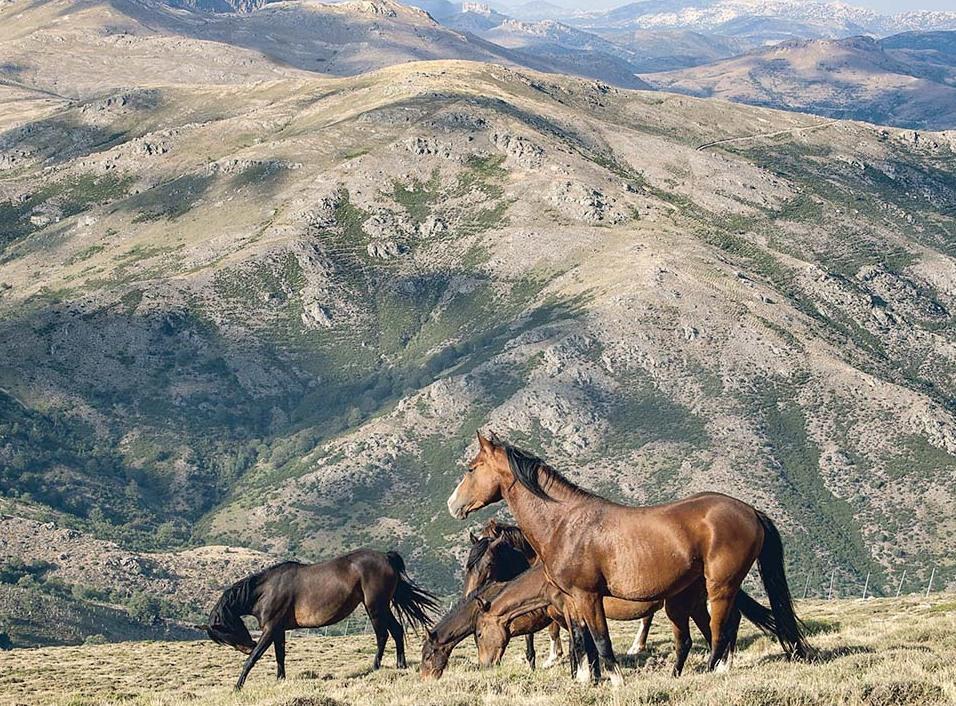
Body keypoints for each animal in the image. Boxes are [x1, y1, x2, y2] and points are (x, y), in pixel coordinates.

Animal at [204, 549, 438, 689]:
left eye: (226, 631)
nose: (247, 646)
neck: (267, 590)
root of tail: (386, 558)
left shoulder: (270, 629)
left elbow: (254, 659)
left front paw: (238, 686)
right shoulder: (278, 630)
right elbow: (280, 656)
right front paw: (280, 680)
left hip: (375, 607)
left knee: (383, 635)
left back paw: (376, 667)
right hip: (381, 607)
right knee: (396, 631)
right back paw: (400, 665)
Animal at [447, 433, 810, 684]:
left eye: (471, 468)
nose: (453, 505)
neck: (565, 522)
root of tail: (751, 511)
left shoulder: (587, 596)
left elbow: (600, 640)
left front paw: (615, 680)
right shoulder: (572, 601)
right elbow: (581, 641)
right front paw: (585, 680)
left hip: (720, 585)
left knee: (722, 628)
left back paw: (711, 670)